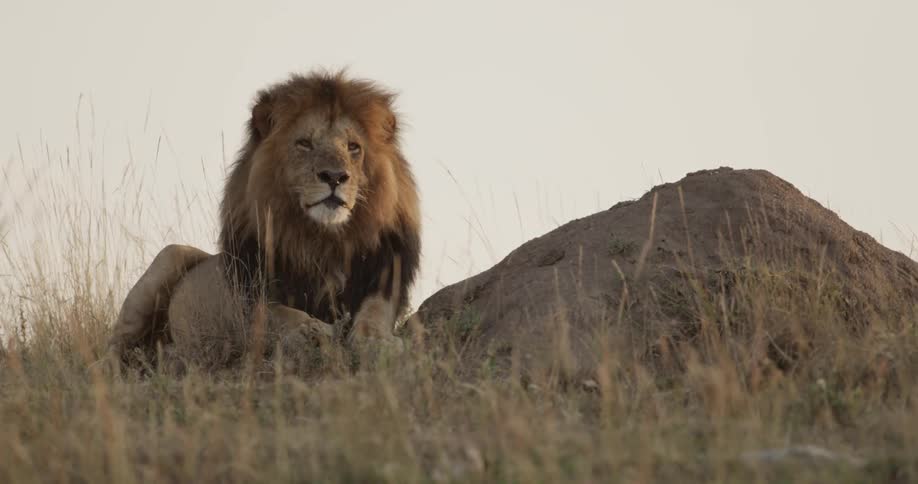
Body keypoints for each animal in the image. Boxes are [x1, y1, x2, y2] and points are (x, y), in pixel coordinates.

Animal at [107, 70, 421, 370]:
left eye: (353, 147)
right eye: (304, 143)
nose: (334, 177)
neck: (321, 239)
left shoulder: (384, 277)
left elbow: (374, 312)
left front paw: (376, 340)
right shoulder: (249, 291)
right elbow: (278, 314)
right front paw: (313, 329)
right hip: (169, 257)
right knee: (115, 345)